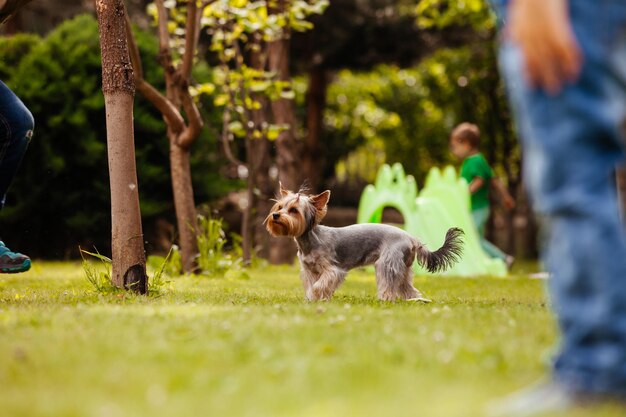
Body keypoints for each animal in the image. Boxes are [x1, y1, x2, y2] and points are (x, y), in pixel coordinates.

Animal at [264, 184, 464, 300]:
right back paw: (414, 300)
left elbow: (321, 284)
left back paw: (385, 299)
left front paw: (316, 295)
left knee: (388, 284)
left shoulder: (333, 270)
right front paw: (313, 299)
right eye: (279, 206)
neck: (310, 239)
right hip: (404, 267)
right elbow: (312, 284)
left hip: (386, 262)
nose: (275, 215)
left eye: (294, 210)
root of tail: (412, 238)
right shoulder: (309, 270)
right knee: (407, 286)